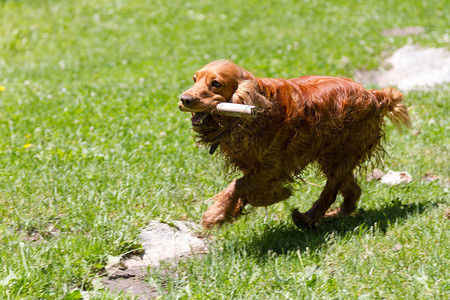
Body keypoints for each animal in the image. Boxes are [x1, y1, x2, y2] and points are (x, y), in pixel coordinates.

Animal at [178, 61, 410, 230]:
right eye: (195, 79)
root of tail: (374, 94)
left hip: (341, 152)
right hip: (331, 156)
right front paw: (231, 211)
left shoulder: (274, 166)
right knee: (353, 191)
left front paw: (215, 214)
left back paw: (308, 218)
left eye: (215, 83)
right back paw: (332, 215)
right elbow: (245, 188)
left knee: (331, 191)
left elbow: (239, 185)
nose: (184, 99)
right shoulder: (254, 167)